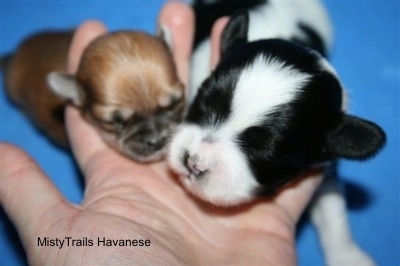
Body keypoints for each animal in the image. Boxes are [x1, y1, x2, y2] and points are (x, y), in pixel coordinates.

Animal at [168, 0, 384, 266]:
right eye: (203, 105)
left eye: (264, 153)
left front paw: (348, 256)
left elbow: (333, 211)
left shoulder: (325, 169)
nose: (193, 163)